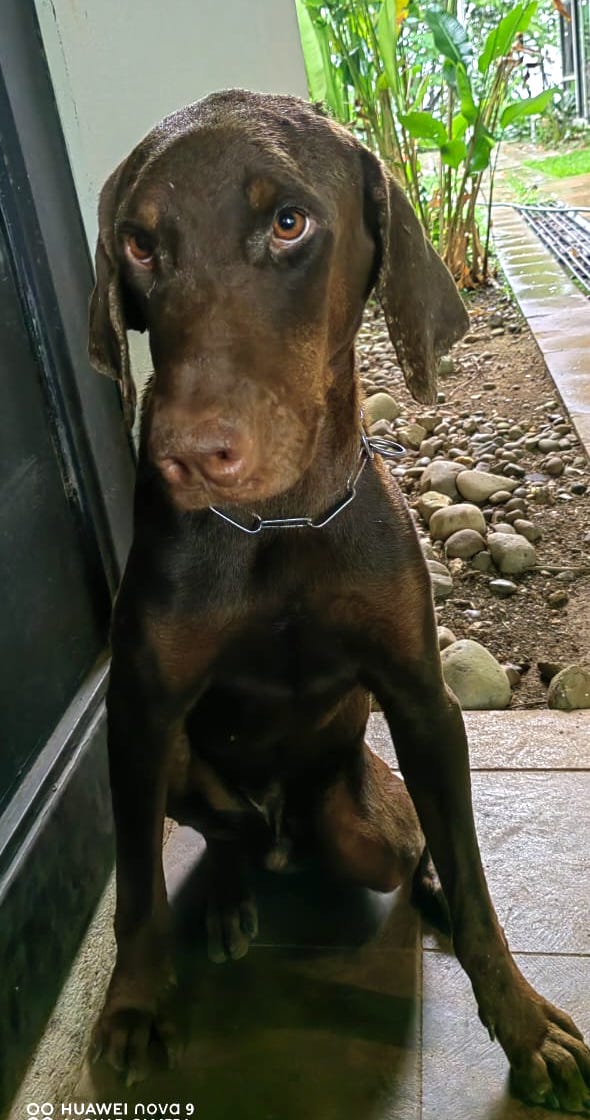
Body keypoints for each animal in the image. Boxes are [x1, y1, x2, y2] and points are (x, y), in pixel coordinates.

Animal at [89, 91, 590, 1106]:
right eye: (138, 243)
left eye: (289, 223)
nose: (187, 454)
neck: (275, 528)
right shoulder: (141, 710)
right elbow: (136, 887)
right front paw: (136, 1003)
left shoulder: (423, 699)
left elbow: (475, 883)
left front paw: (522, 1027)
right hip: (186, 771)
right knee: (223, 835)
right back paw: (231, 898)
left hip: (370, 825)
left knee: (418, 852)